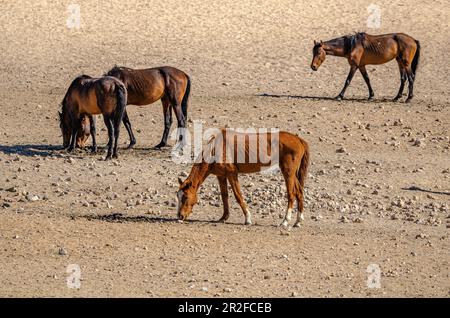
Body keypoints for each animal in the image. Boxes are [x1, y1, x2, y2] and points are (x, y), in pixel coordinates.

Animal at [176, 128, 310, 227]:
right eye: (178, 196)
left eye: (185, 197)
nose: (180, 216)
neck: (216, 148)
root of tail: (298, 139)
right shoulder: (221, 176)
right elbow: (224, 196)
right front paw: (223, 217)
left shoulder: (232, 174)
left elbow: (238, 195)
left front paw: (248, 219)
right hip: (292, 174)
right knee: (299, 192)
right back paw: (298, 221)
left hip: (288, 173)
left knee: (291, 194)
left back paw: (285, 221)